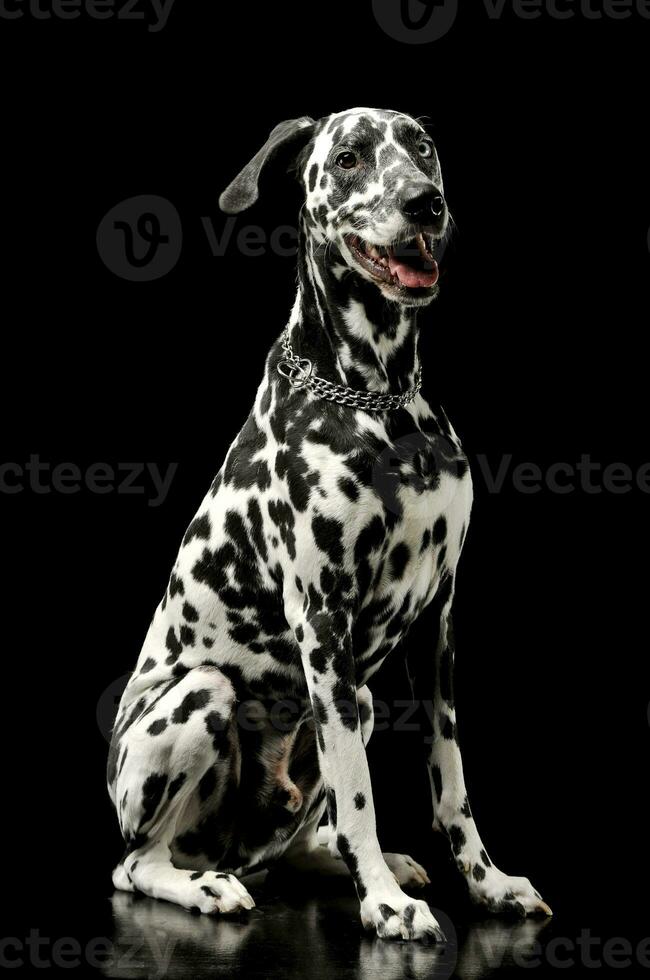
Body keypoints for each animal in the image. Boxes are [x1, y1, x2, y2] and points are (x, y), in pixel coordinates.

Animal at [107, 107, 552, 940]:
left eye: (422, 148)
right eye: (348, 158)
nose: (424, 204)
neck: (381, 403)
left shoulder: (440, 621)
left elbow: (450, 782)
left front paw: (486, 883)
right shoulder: (325, 621)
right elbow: (358, 793)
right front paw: (382, 904)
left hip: (363, 699)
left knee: (293, 844)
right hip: (204, 698)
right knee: (137, 865)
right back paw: (208, 887)